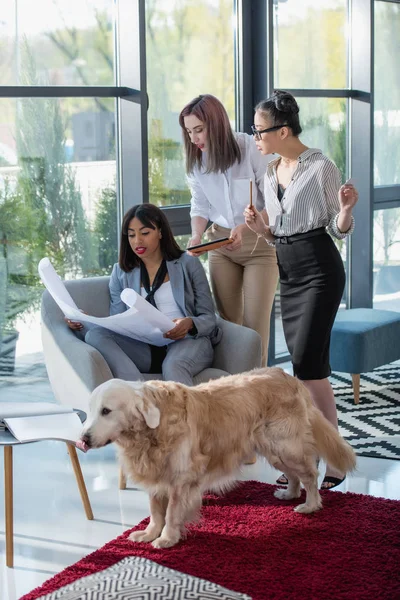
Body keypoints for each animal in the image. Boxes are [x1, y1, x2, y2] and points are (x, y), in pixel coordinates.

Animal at [80, 366, 356, 548]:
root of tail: (289, 376)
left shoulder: (181, 478)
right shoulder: (157, 476)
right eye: (89, 411)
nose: (83, 439)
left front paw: (167, 538)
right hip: (273, 449)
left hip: (286, 445)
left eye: (106, 411)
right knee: (293, 476)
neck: (151, 432)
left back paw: (310, 505)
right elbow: (156, 511)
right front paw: (149, 534)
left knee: (310, 475)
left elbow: (171, 512)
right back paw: (289, 494)